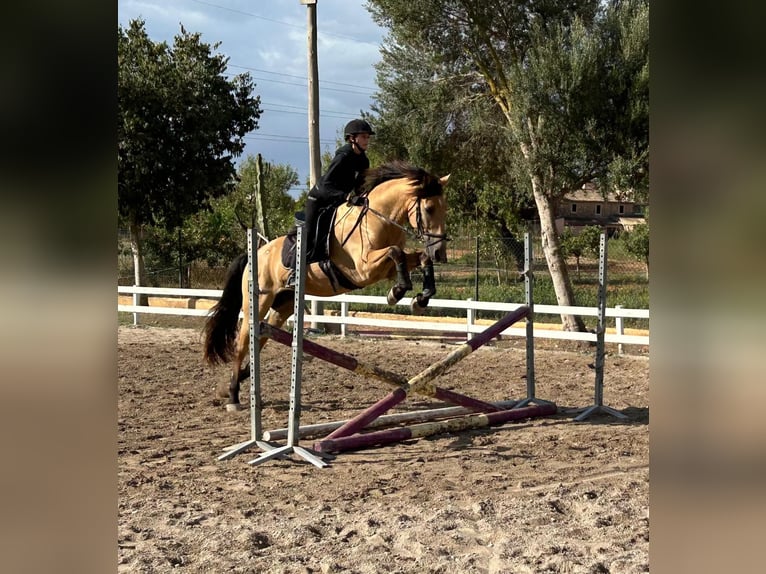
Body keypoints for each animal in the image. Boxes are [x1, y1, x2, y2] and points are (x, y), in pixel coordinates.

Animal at [202, 160, 450, 410]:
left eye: (444, 208)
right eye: (429, 208)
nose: (440, 253)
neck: (379, 219)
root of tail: (257, 253)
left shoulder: (384, 270)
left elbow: (419, 258)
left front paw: (420, 298)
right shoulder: (364, 269)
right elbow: (395, 251)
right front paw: (397, 292)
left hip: (282, 306)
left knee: (262, 338)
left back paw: (241, 381)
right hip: (259, 301)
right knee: (242, 343)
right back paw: (233, 395)